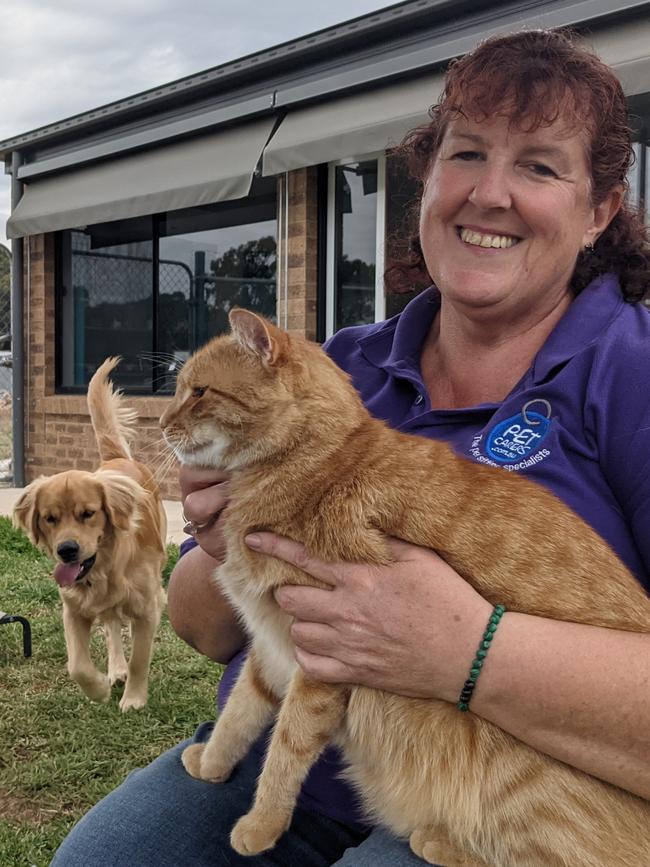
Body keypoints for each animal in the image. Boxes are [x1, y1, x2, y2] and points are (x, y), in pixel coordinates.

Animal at [158, 312, 648, 867]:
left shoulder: (319, 661)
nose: (161, 425)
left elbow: (287, 746)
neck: (312, 463)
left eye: (199, 392)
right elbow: (241, 712)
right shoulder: (269, 644)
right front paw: (213, 762)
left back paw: (439, 840)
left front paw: (261, 825)